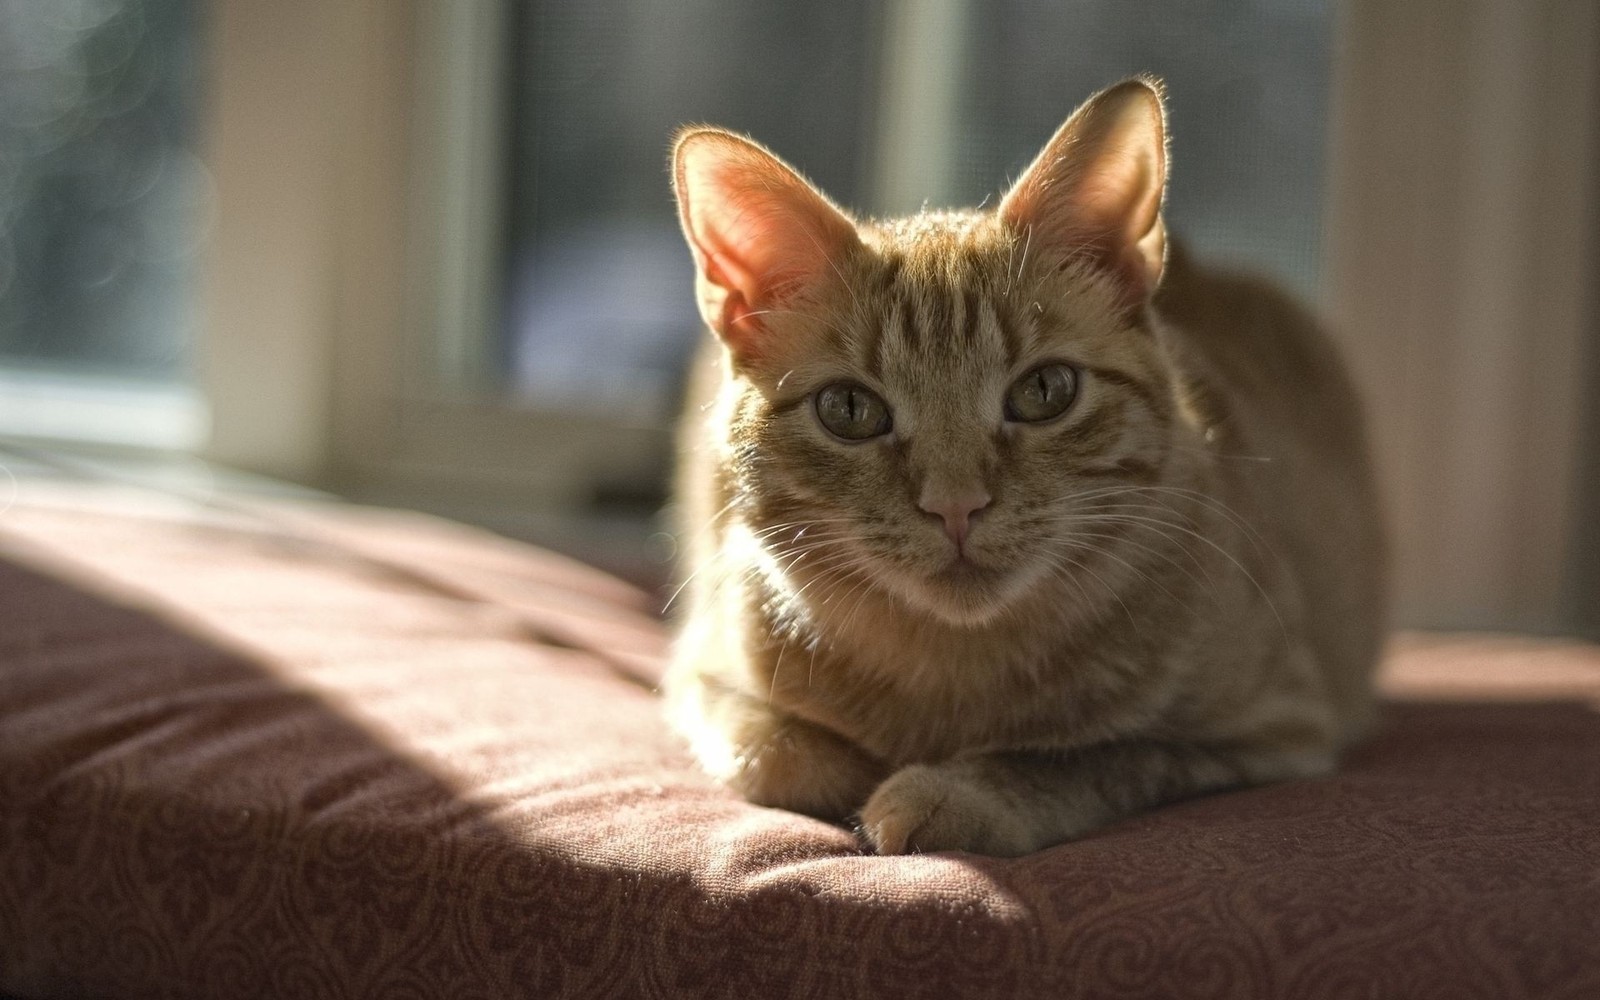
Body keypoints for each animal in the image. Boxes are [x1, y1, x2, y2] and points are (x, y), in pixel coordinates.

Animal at [656, 80, 1382, 857]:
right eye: (849, 409)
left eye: (1044, 392)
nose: (956, 506)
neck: (952, 674)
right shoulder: (699, 673)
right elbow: (775, 754)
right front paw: (850, 770)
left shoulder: (1276, 732)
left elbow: (1097, 755)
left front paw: (953, 791)